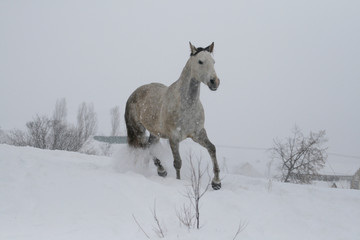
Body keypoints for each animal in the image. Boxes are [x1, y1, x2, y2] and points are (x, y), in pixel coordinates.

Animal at [125, 42, 221, 189]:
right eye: (200, 61)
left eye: (214, 62)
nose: (214, 82)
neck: (187, 105)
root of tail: (134, 93)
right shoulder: (174, 138)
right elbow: (178, 162)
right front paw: (178, 182)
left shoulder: (198, 134)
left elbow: (212, 149)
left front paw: (216, 183)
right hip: (138, 130)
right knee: (145, 148)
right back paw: (161, 170)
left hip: (155, 134)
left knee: (149, 147)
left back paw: (159, 170)